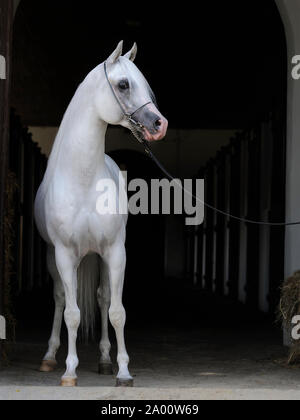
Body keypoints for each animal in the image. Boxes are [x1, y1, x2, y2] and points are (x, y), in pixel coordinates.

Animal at [34, 41, 169, 386]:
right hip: (54, 257)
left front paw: (122, 371)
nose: (159, 125)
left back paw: (106, 359)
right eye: (123, 85)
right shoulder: (65, 254)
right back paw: (49, 357)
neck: (82, 179)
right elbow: (71, 313)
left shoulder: (115, 251)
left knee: (103, 298)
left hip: (99, 257)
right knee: (59, 299)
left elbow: (116, 311)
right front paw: (69, 371)